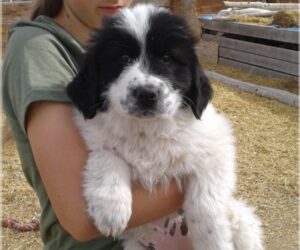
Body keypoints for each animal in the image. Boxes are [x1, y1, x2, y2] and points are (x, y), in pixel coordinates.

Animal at [67, 3, 264, 250]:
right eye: (123, 58)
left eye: (167, 58)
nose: (146, 94)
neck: (149, 130)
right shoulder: (96, 137)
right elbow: (108, 156)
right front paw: (110, 210)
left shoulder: (217, 147)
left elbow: (206, 202)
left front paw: (212, 240)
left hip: (243, 222)